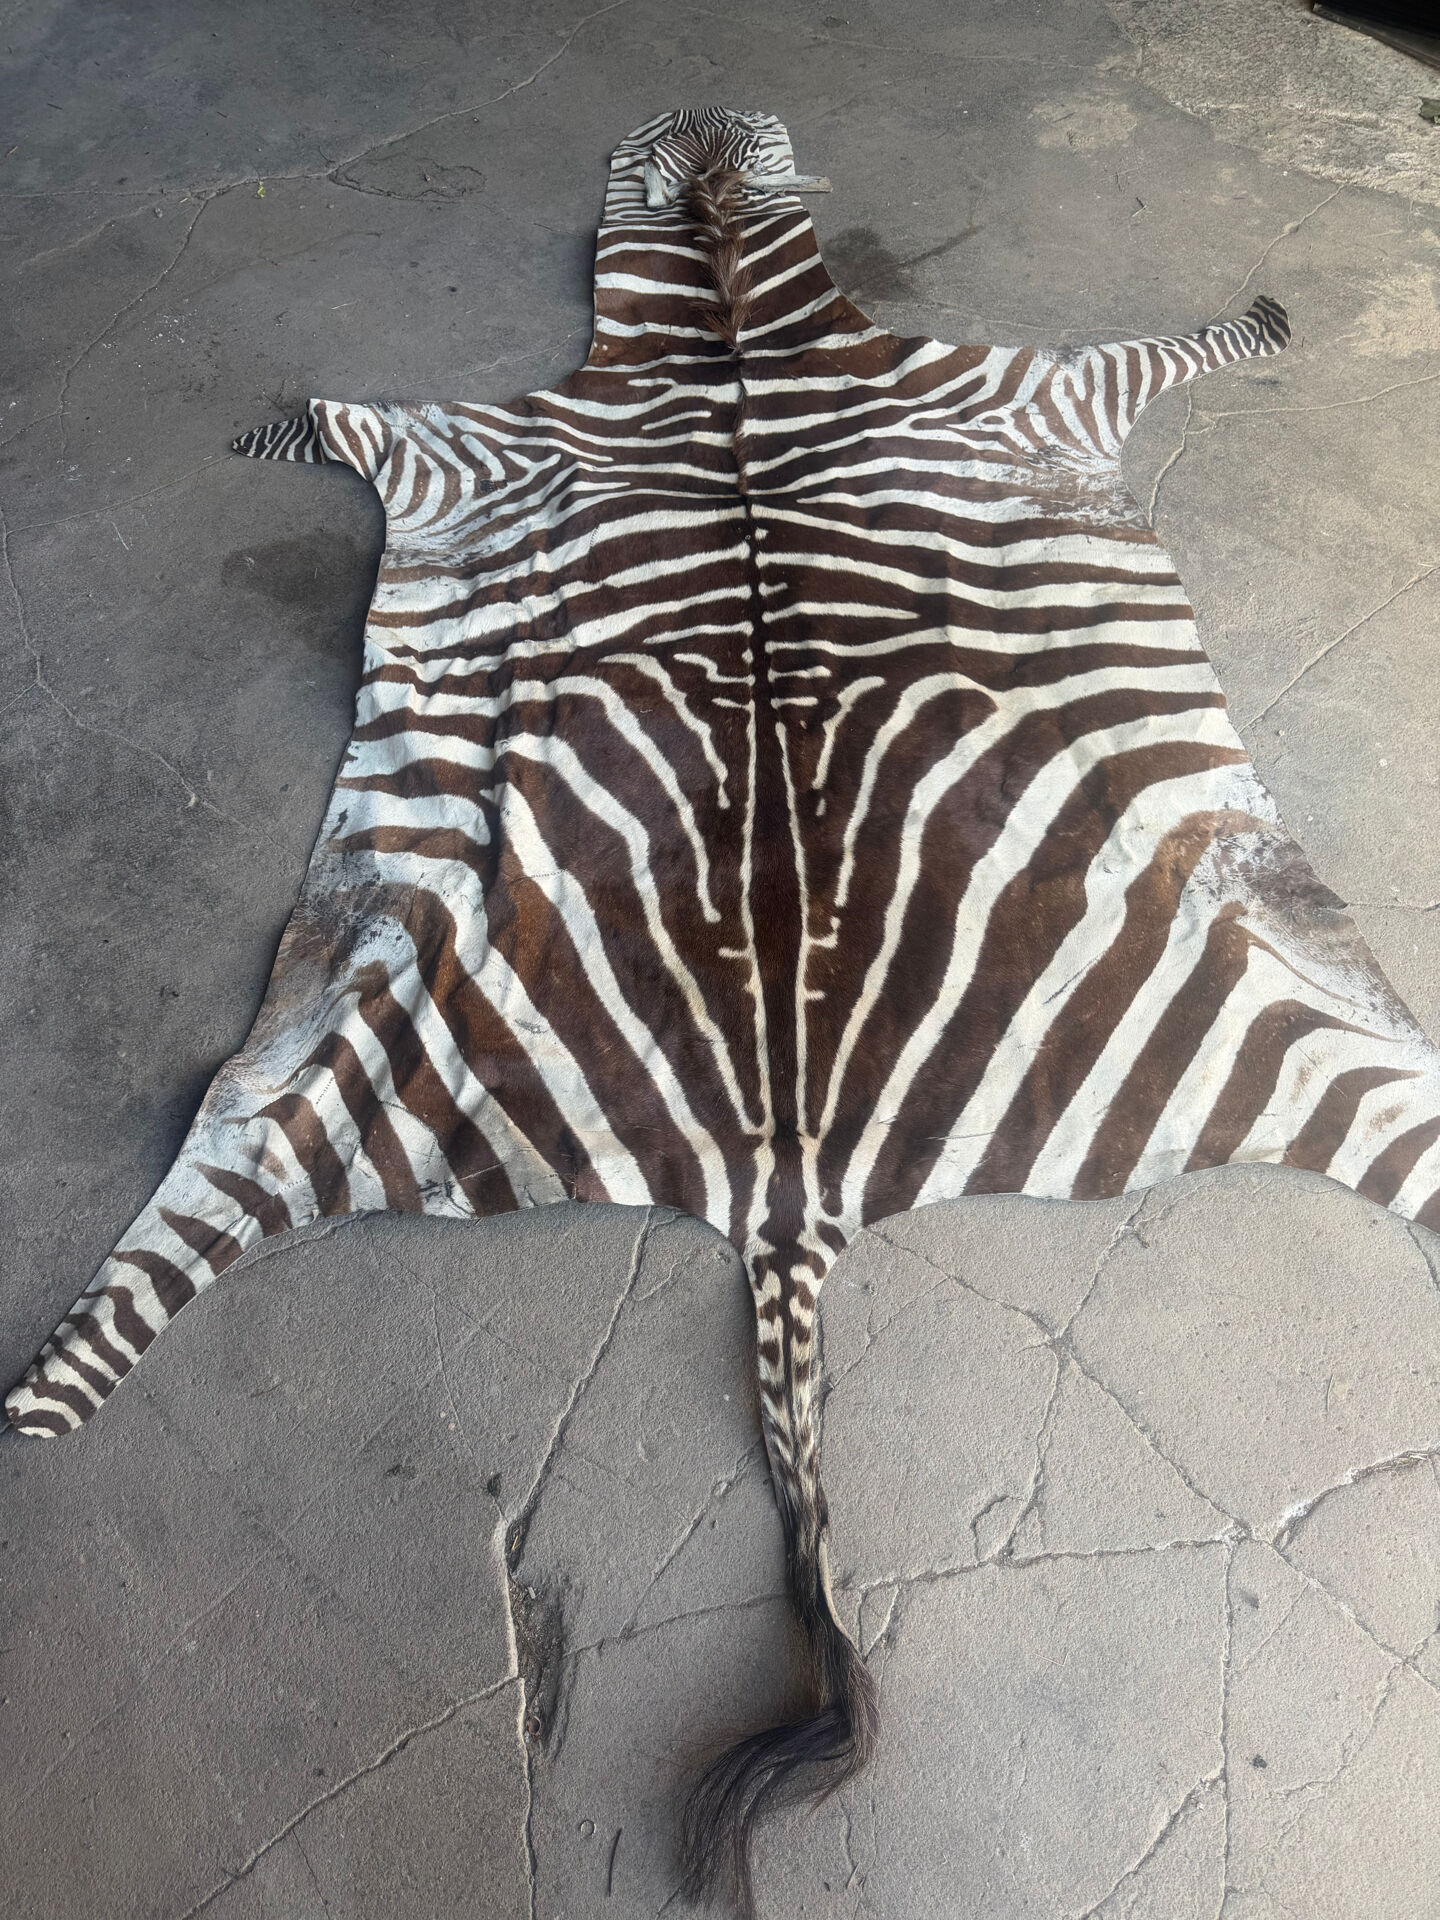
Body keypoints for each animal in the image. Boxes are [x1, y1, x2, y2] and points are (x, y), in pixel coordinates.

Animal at [9, 106, 1440, 1914]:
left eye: (717, 148)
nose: (701, 114)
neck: (734, 343)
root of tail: (787, 1181)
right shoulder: (499, 439)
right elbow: (332, 414)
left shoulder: (957, 398)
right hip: (380, 1009)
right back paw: (35, 1401)